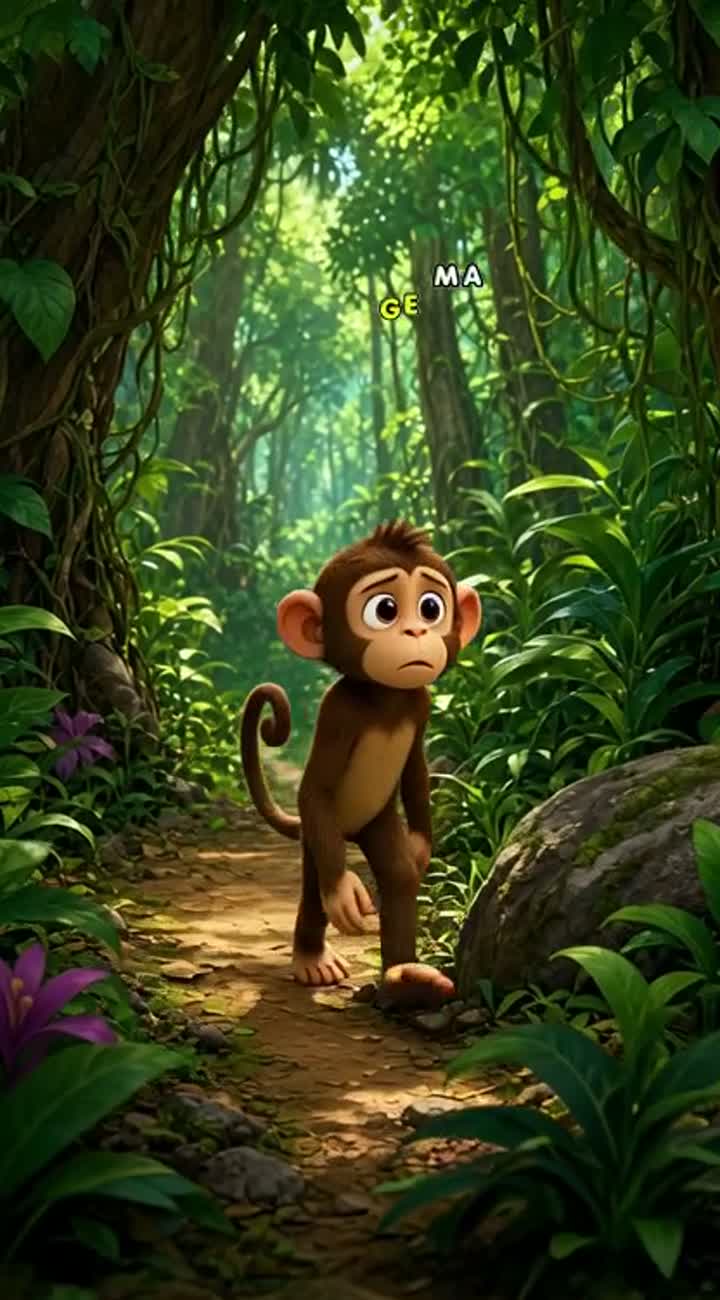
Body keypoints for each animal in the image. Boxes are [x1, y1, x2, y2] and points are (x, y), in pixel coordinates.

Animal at [240, 521, 482, 1009]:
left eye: (431, 607)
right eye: (384, 609)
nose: (415, 632)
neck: (385, 697)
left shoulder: (419, 703)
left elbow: (416, 772)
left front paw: (421, 846)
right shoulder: (339, 711)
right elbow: (313, 787)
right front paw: (345, 897)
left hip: (376, 821)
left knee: (398, 876)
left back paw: (406, 977)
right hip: (320, 835)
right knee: (315, 888)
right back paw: (312, 959)